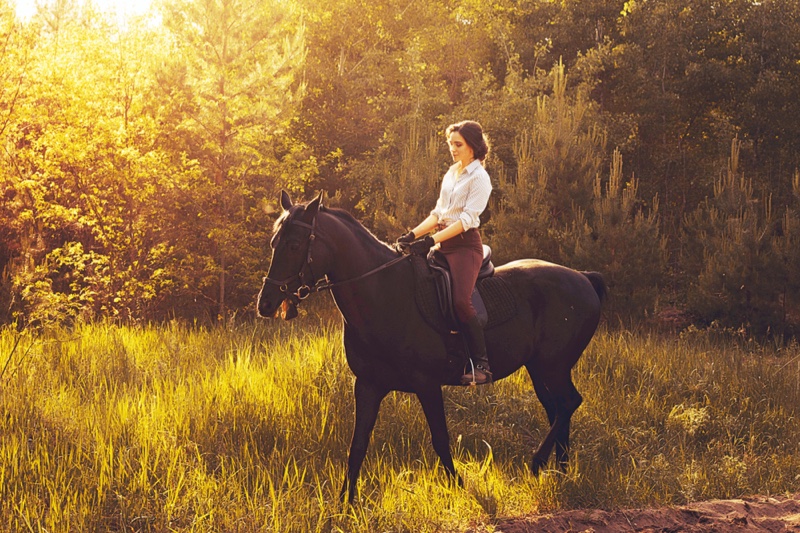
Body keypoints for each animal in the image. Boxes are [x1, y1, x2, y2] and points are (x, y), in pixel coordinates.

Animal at [258, 192, 608, 502]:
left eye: (294, 245)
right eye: (274, 243)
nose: (266, 304)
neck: (385, 294)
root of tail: (583, 278)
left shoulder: (427, 384)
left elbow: (440, 438)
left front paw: (460, 487)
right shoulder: (368, 385)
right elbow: (357, 445)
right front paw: (346, 503)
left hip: (553, 365)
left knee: (568, 403)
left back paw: (538, 464)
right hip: (540, 368)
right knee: (558, 409)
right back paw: (559, 471)